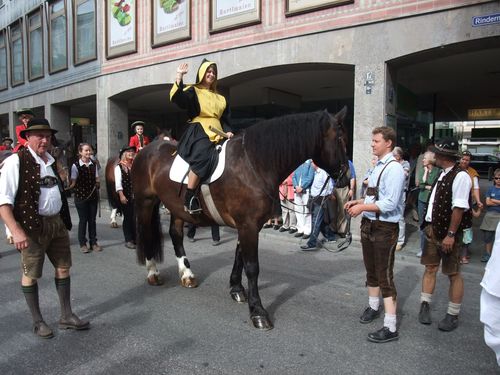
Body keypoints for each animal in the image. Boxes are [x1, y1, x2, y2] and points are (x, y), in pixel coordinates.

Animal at [135, 107, 350, 330]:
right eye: (340, 139)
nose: (345, 178)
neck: (253, 163)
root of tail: (146, 150)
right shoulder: (248, 225)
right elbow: (252, 266)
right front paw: (258, 311)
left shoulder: (248, 224)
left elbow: (239, 257)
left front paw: (237, 289)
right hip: (145, 202)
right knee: (146, 232)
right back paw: (153, 273)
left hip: (177, 208)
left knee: (176, 235)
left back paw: (187, 275)